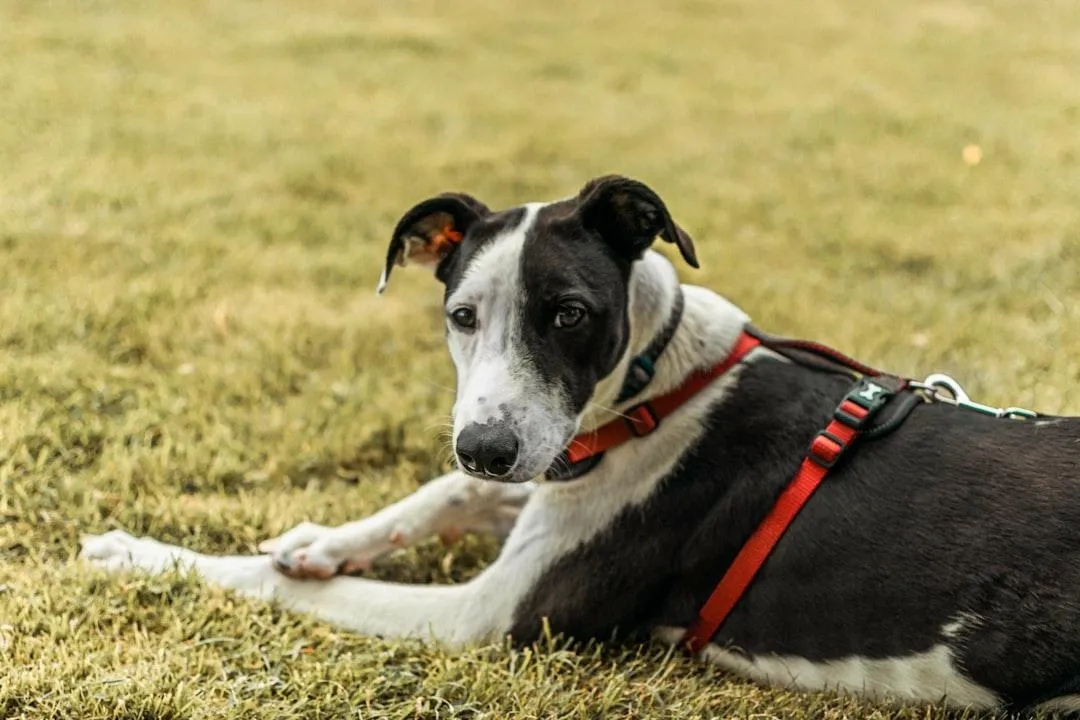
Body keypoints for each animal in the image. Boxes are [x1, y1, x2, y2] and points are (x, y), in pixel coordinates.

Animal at [82, 172, 1080, 716]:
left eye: (568, 314)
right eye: (461, 316)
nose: (484, 444)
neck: (659, 387)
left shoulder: (489, 614)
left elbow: (277, 587)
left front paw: (135, 552)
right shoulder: (549, 473)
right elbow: (445, 494)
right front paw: (319, 542)